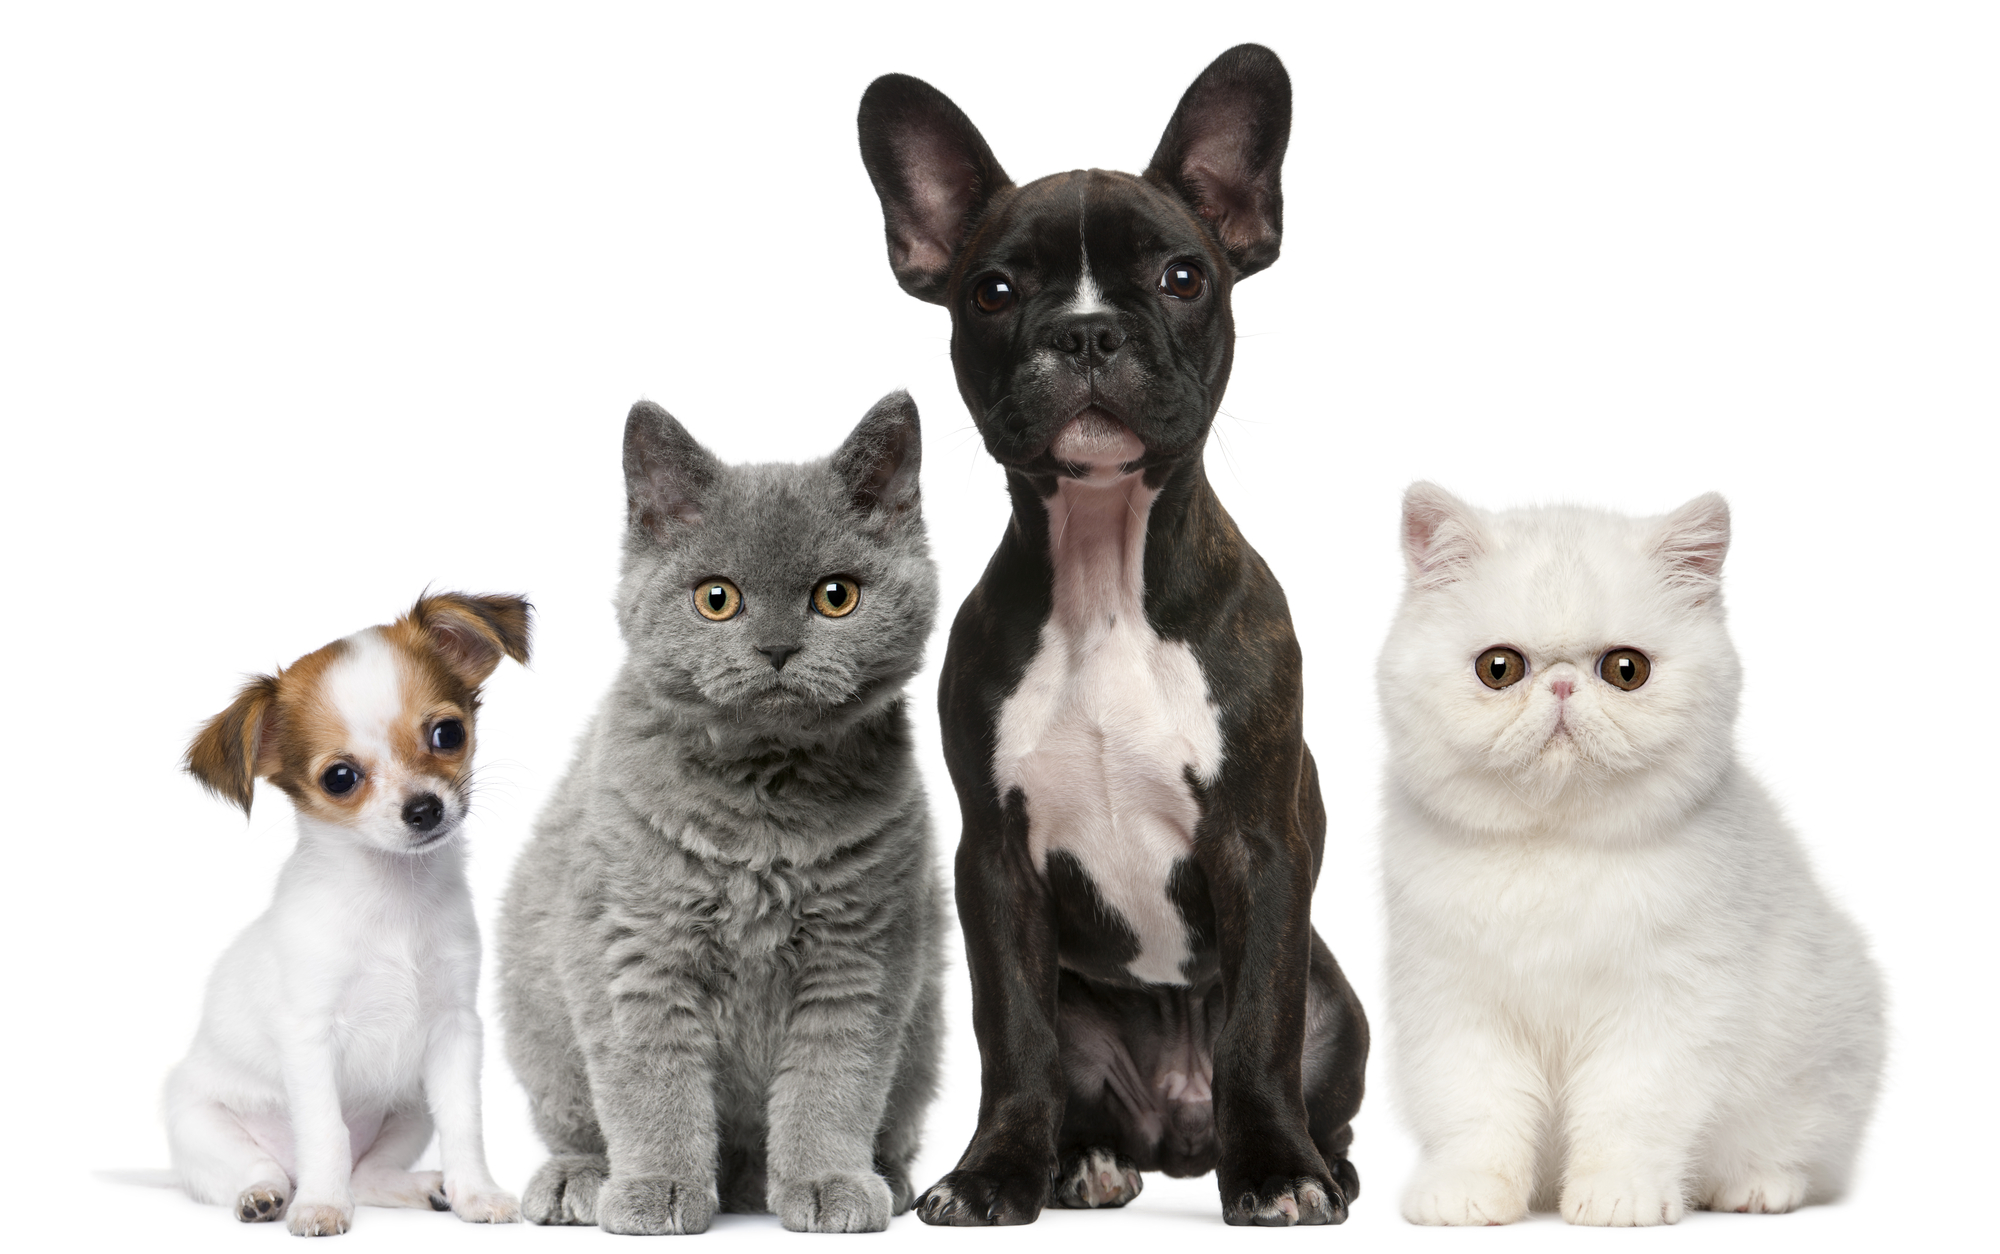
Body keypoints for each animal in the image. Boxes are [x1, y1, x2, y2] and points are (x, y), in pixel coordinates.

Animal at [166, 596, 532, 1240]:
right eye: (340, 778)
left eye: (448, 733)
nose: (424, 808)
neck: (392, 900)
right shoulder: (310, 1037)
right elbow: (326, 1132)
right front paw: (320, 1208)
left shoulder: (455, 1032)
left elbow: (464, 1123)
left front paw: (477, 1195)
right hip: (197, 1124)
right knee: (261, 1168)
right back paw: (268, 1196)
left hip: (408, 1109)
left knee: (368, 1174)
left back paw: (424, 1188)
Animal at [496, 394, 940, 1240]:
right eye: (716, 598)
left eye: (836, 596)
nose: (776, 648)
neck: (763, 798)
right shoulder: (635, 945)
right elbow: (651, 1082)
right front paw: (659, 1188)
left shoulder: (863, 954)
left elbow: (834, 1081)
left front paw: (828, 1182)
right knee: (578, 1122)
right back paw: (581, 1179)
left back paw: (885, 1178)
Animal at [1384, 488, 1880, 1224]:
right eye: (1499, 669)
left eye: (1626, 670)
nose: (1563, 688)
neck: (1555, 849)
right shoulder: (1454, 1007)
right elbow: (1476, 1111)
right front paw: (1468, 1193)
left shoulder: (1664, 1010)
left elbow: (1629, 1113)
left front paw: (1619, 1195)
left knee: (1799, 1156)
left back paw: (1756, 1187)